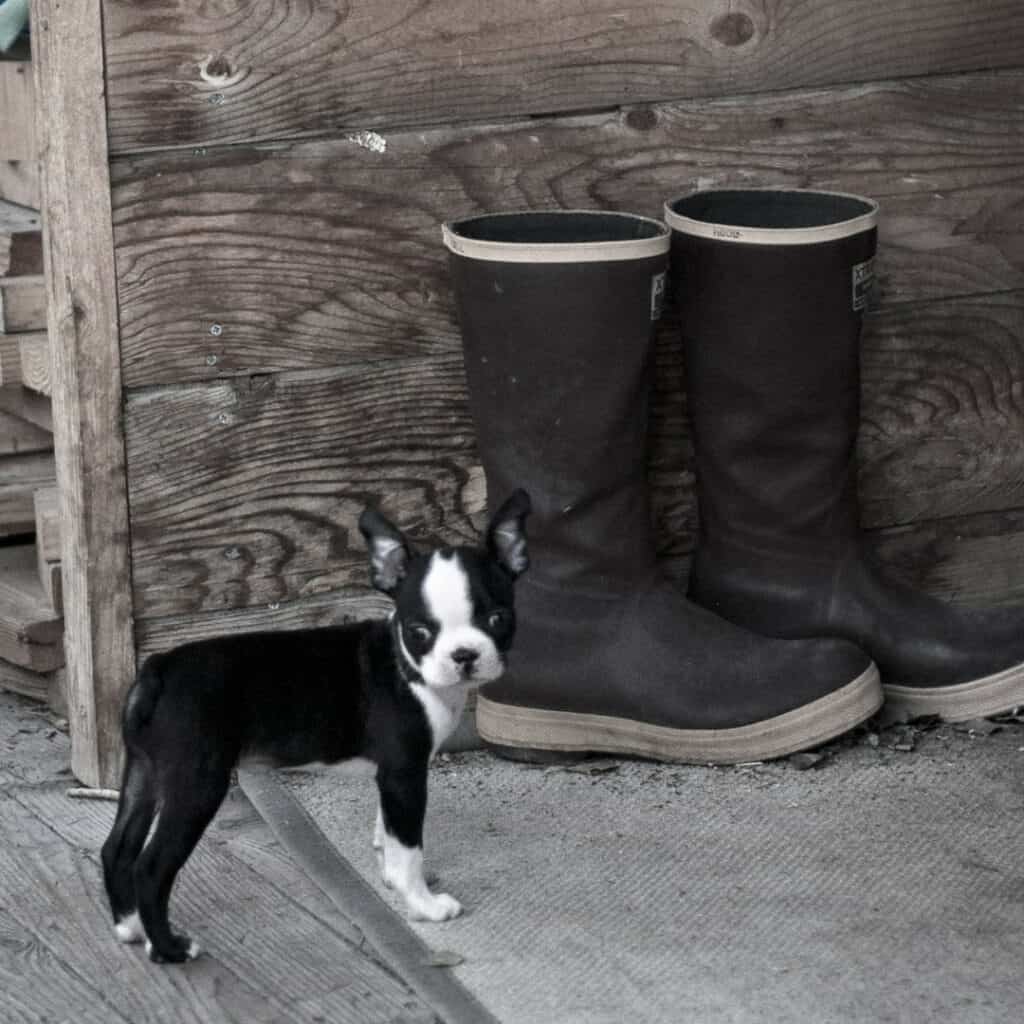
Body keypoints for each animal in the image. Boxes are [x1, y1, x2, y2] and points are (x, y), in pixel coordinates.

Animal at [99, 491, 532, 962]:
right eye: (420, 631)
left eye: (498, 619)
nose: (464, 655)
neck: (405, 666)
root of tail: (158, 669)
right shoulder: (405, 773)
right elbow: (408, 848)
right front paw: (422, 905)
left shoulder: (391, 777)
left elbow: (388, 832)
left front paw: (388, 875)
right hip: (196, 783)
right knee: (150, 867)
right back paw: (169, 947)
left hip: (144, 771)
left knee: (117, 849)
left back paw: (129, 927)